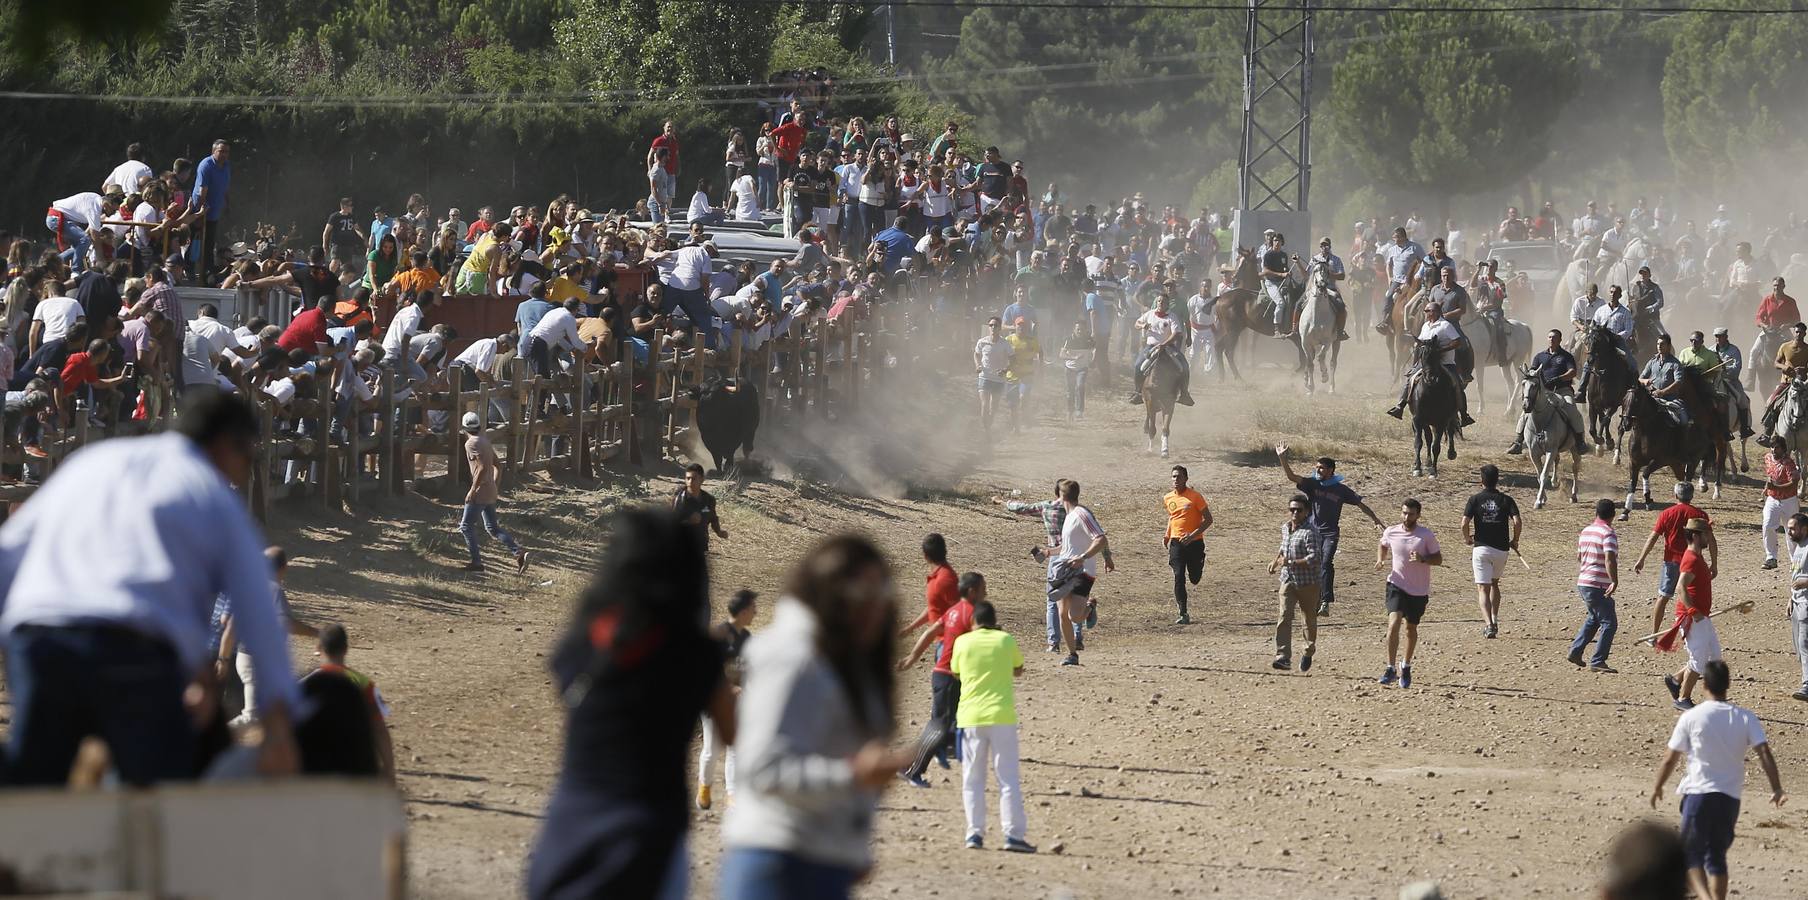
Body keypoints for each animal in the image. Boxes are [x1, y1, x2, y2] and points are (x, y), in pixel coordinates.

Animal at [1301, 254, 1345, 392]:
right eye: (1315, 270)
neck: (1315, 317)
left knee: (1332, 362)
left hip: (1336, 342)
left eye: (1328, 271)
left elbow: (1321, 357)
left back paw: (1331, 388)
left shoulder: (1327, 341)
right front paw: (1310, 387)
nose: (1321, 285)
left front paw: (1324, 376)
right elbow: (1310, 363)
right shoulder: (1305, 342)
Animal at [1403, 337, 1460, 477]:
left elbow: (1436, 446)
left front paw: (1434, 471)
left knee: (1449, 431)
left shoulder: (1441, 421)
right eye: (1421, 356)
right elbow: (1419, 442)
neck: (1431, 393)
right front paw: (1417, 468)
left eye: (1437, 354)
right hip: (1426, 422)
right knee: (1428, 438)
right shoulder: (1418, 419)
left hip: (1445, 419)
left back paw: (1450, 453)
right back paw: (1427, 462)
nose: (1431, 378)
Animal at [1511, 370, 1583, 509]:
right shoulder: (1534, 453)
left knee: (1575, 468)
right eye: (1523, 384)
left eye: (1535, 385)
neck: (1540, 423)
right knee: (1557, 461)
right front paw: (1543, 498)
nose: (1526, 406)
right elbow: (1539, 475)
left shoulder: (1551, 450)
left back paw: (1573, 495)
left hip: (1574, 449)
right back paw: (1555, 482)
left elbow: (1544, 474)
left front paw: (1539, 501)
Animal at [1583, 321, 1641, 457]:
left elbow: (1604, 421)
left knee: (1611, 423)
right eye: (1587, 339)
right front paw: (1600, 442)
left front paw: (1604, 441)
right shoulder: (1592, 404)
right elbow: (1592, 428)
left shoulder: (1613, 405)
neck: (1602, 375)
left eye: (1598, 340)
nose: (1590, 360)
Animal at [1619, 377, 1713, 520]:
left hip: (1693, 460)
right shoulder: (1633, 463)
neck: (1644, 433)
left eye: (1636, 400)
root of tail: (1703, 431)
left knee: (1688, 478)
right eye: (1624, 399)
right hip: (1677, 465)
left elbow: (1645, 473)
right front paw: (1626, 511)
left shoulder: (1660, 460)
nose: (1626, 424)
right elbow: (1632, 484)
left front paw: (1648, 500)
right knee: (1682, 478)